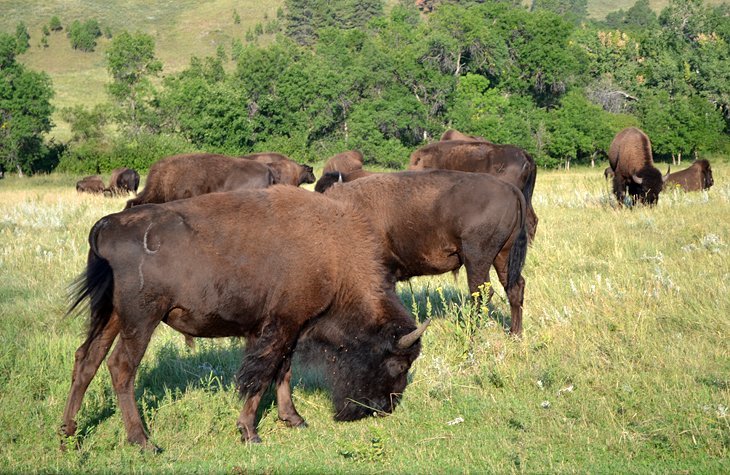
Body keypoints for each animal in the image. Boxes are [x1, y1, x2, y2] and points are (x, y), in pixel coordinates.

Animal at [64, 187, 426, 450]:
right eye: (398, 364)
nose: (386, 407)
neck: (334, 255)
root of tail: (106, 225)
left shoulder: (285, 328)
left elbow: (283, 371)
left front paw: (294, 419)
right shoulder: (280, 327)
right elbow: (261, 376)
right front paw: (250, 433)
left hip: (111, 316)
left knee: (87, 359)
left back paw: (67, 432)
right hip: (141, 320)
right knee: (121, 367)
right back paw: (143, 441)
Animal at [322, 169, 528, 336]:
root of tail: (510, 188)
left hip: (477, 257)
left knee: (481, 292)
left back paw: (472, 334)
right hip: (502, 256)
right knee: (513, 287)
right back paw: (514, 334)